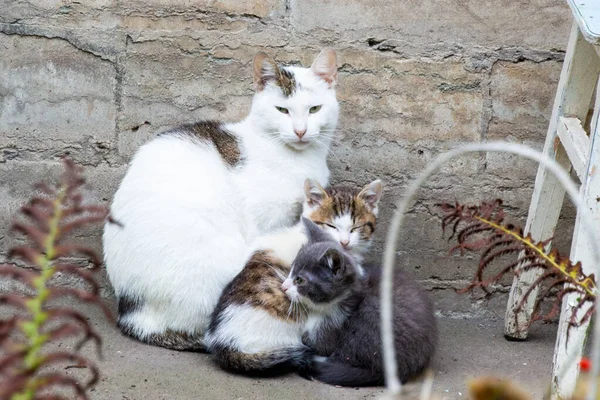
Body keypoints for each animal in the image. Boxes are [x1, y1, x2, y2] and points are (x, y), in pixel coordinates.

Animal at [284, 217, 438, 386]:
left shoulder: (335, 324)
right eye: (291, 270)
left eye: (299, 280)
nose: (283, 286)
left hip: (375, 313)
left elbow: (318, 345)